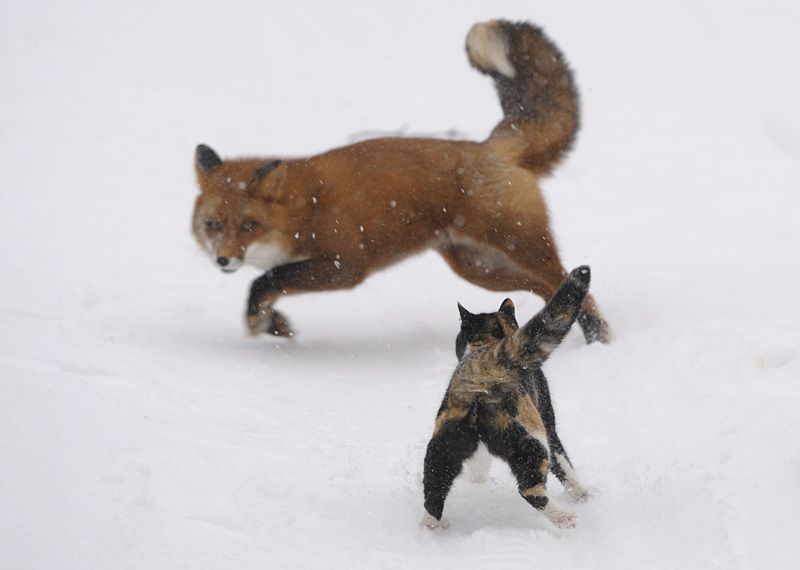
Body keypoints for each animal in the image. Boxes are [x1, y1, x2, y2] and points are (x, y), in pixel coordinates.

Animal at [194, 20, 612, 342]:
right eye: (212, 225)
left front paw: (261, 320)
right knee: (545, 290)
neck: (303, 208)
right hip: (481, 269)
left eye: (248, 226)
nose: (222, 259)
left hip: (519, 247)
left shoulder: (345, 264)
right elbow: (266, 288)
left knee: (570, 285)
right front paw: (272, 324)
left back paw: (598, 337)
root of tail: (489, 147)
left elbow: (266, 280)